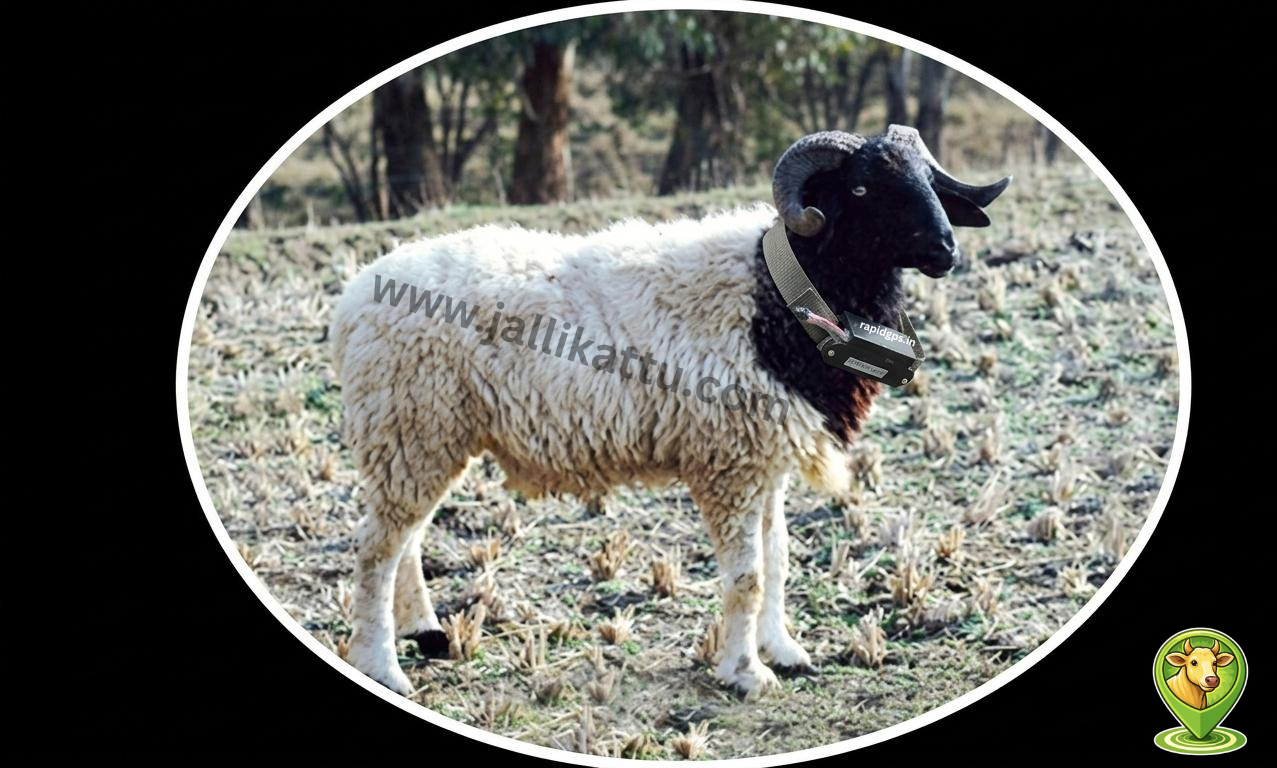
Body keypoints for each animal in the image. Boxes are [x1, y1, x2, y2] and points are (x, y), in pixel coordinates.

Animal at [330, 125, 1010, 700]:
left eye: (929, 180)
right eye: (864, 188)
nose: (946, 250)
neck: (778, 293)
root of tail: (355, 296)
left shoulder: (764, 460)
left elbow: (778, 559)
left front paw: (783, 651)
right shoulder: (729, 463)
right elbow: (747, 576)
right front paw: (745, 673)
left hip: (426, 433)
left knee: (407, 538)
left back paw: (427, 632)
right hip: (412, 425)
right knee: (375, 549)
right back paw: (383, 665)